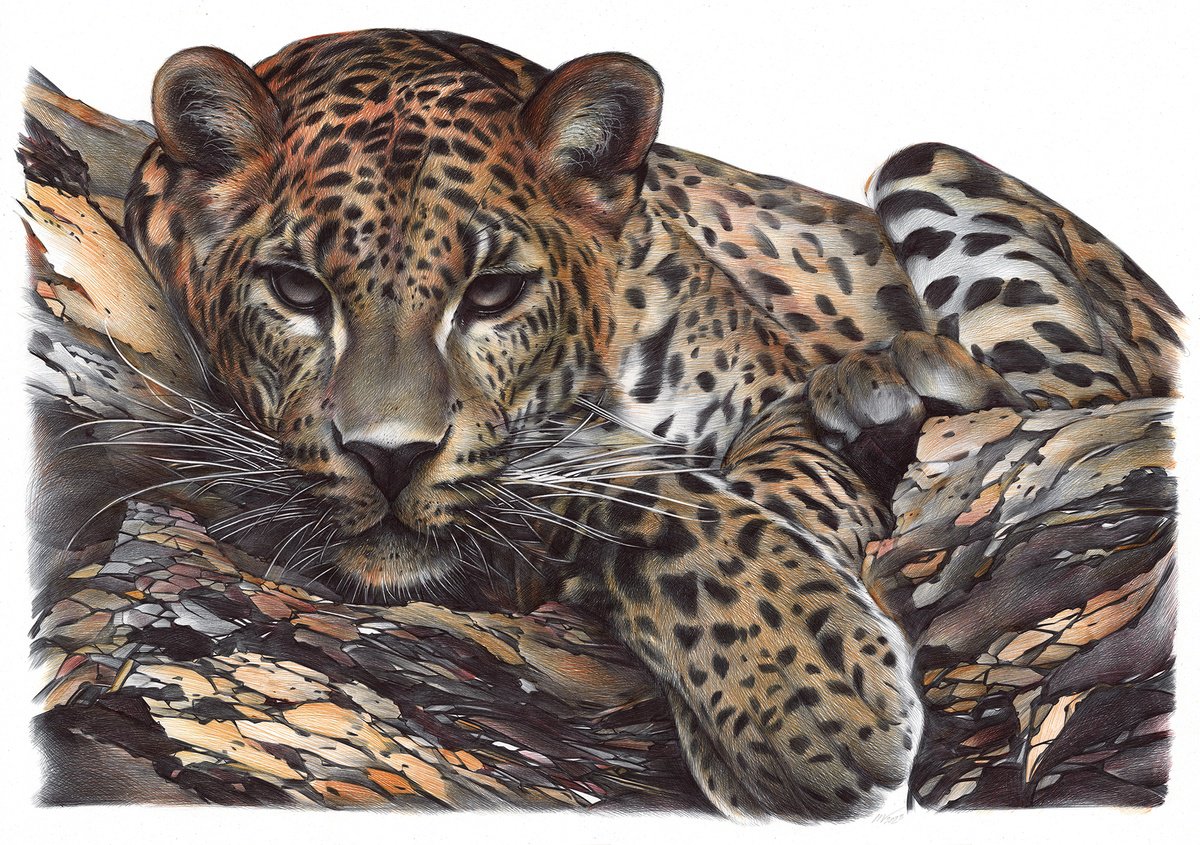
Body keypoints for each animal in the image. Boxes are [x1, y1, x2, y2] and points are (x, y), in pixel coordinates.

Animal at [123, 28, 1184, 820]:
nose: (390, 458)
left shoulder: (775, 400)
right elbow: (652, 494)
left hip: (929, 175)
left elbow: (758, 487)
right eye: (297, 290)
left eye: (494, 292)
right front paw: (812, 701)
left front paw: (800, 683)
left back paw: (899, 381)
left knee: (1086, 394)